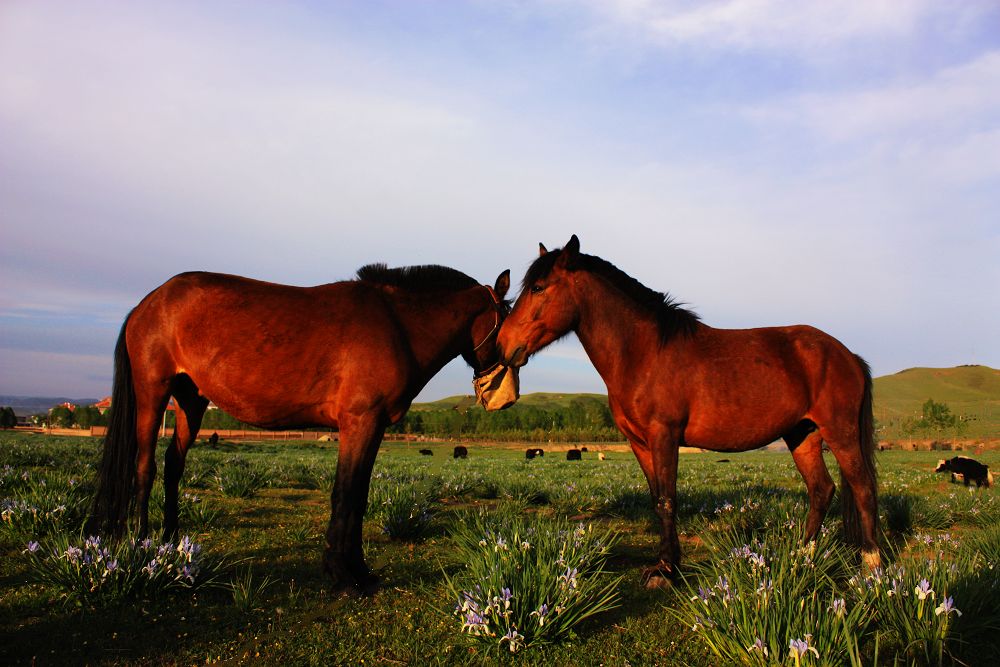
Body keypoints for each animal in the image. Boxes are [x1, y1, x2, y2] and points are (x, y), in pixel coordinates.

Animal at [90, 264, 520, 592]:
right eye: (508, 319)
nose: (506, 396)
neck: (398, 324)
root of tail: (149, 302)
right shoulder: (359, 423)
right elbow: (346, 495)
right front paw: (343, 575)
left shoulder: (373, 427)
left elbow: (359, 496)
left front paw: (358, 570)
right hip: (153, 392)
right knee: (144, 466)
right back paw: (146, 546)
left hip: (190, 401)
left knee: (173, 465)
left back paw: (171, 541)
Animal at [496, 236, 880, 588]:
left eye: (538, 287)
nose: (502, 345)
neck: (644, 352)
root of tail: (847, 355)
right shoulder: (640, 443)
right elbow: (657, 500)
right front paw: (664, 563)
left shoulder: (664, 435)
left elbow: (668, 499)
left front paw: (666, 571)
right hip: (802, 434)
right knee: (821, 490)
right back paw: (802, 558)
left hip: (840, 433)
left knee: (861, 487)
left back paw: (871, 565)